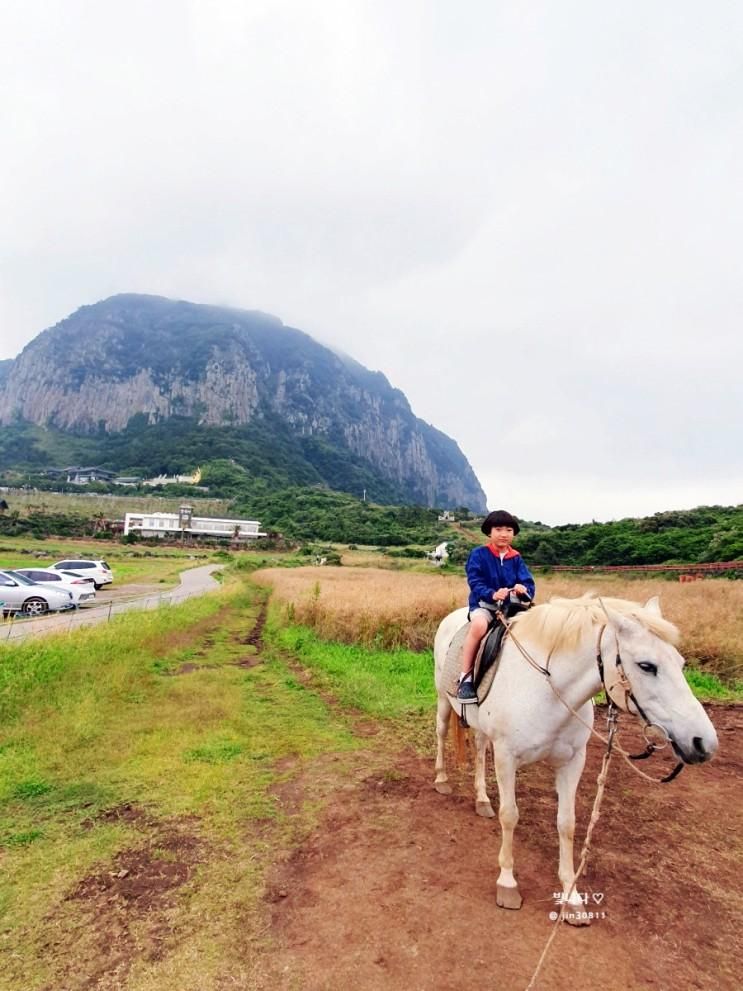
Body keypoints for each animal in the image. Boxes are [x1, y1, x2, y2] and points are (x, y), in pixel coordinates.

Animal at [434, 592, 716, 920]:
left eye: (681, 663)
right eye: (646, 665)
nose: (704, 742)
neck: (548, 691)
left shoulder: (572, 762)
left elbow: (567, 824)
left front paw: (571, 896)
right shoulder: (506, 757)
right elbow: (510, 816)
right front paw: (507, 882)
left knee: (479, 748)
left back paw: (481, 799)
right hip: (443, 700)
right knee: (441, 731)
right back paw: (441, 780)